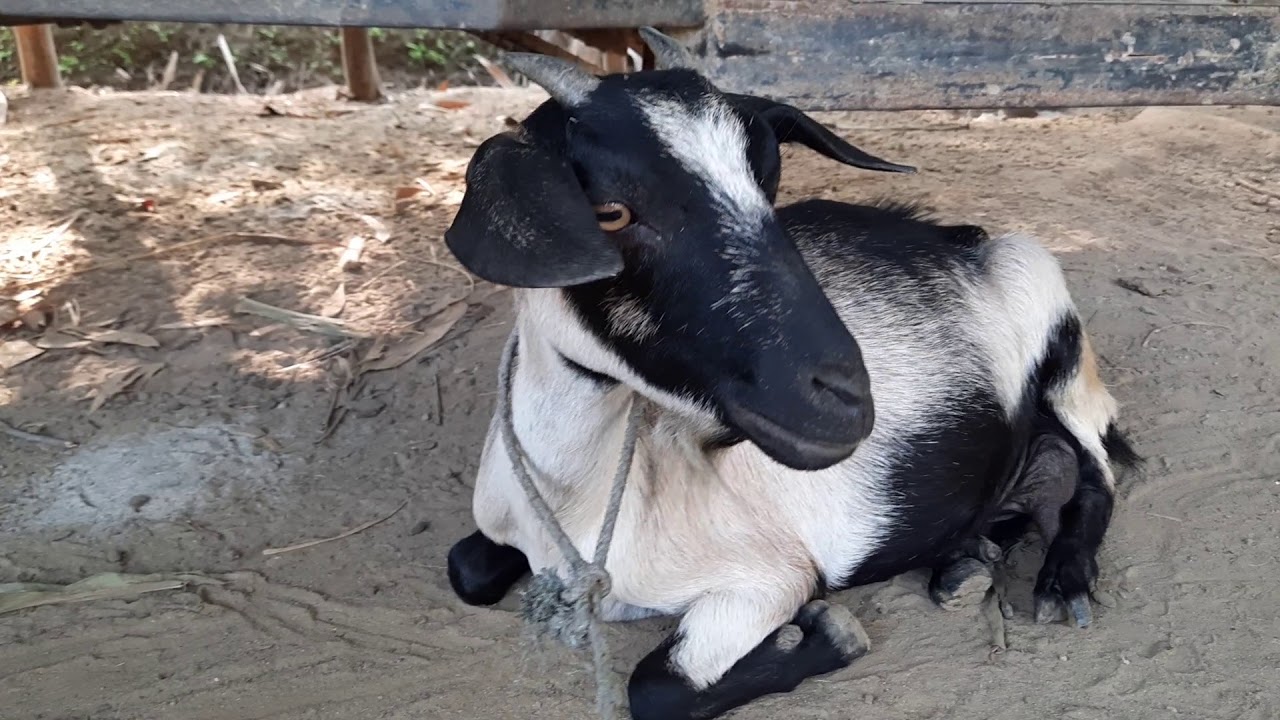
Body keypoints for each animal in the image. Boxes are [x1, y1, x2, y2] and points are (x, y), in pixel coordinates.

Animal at [442, 28, 1140, 720]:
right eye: (609, 213)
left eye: (770, 182)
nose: (847, 399)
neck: (577, 507)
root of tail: (959, 237)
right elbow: (464, 568)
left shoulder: (766, 578)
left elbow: (655, 689)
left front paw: (829, 633)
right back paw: (964, 560)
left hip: (1048, 306)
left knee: (1093, 467)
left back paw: (1061, 582)